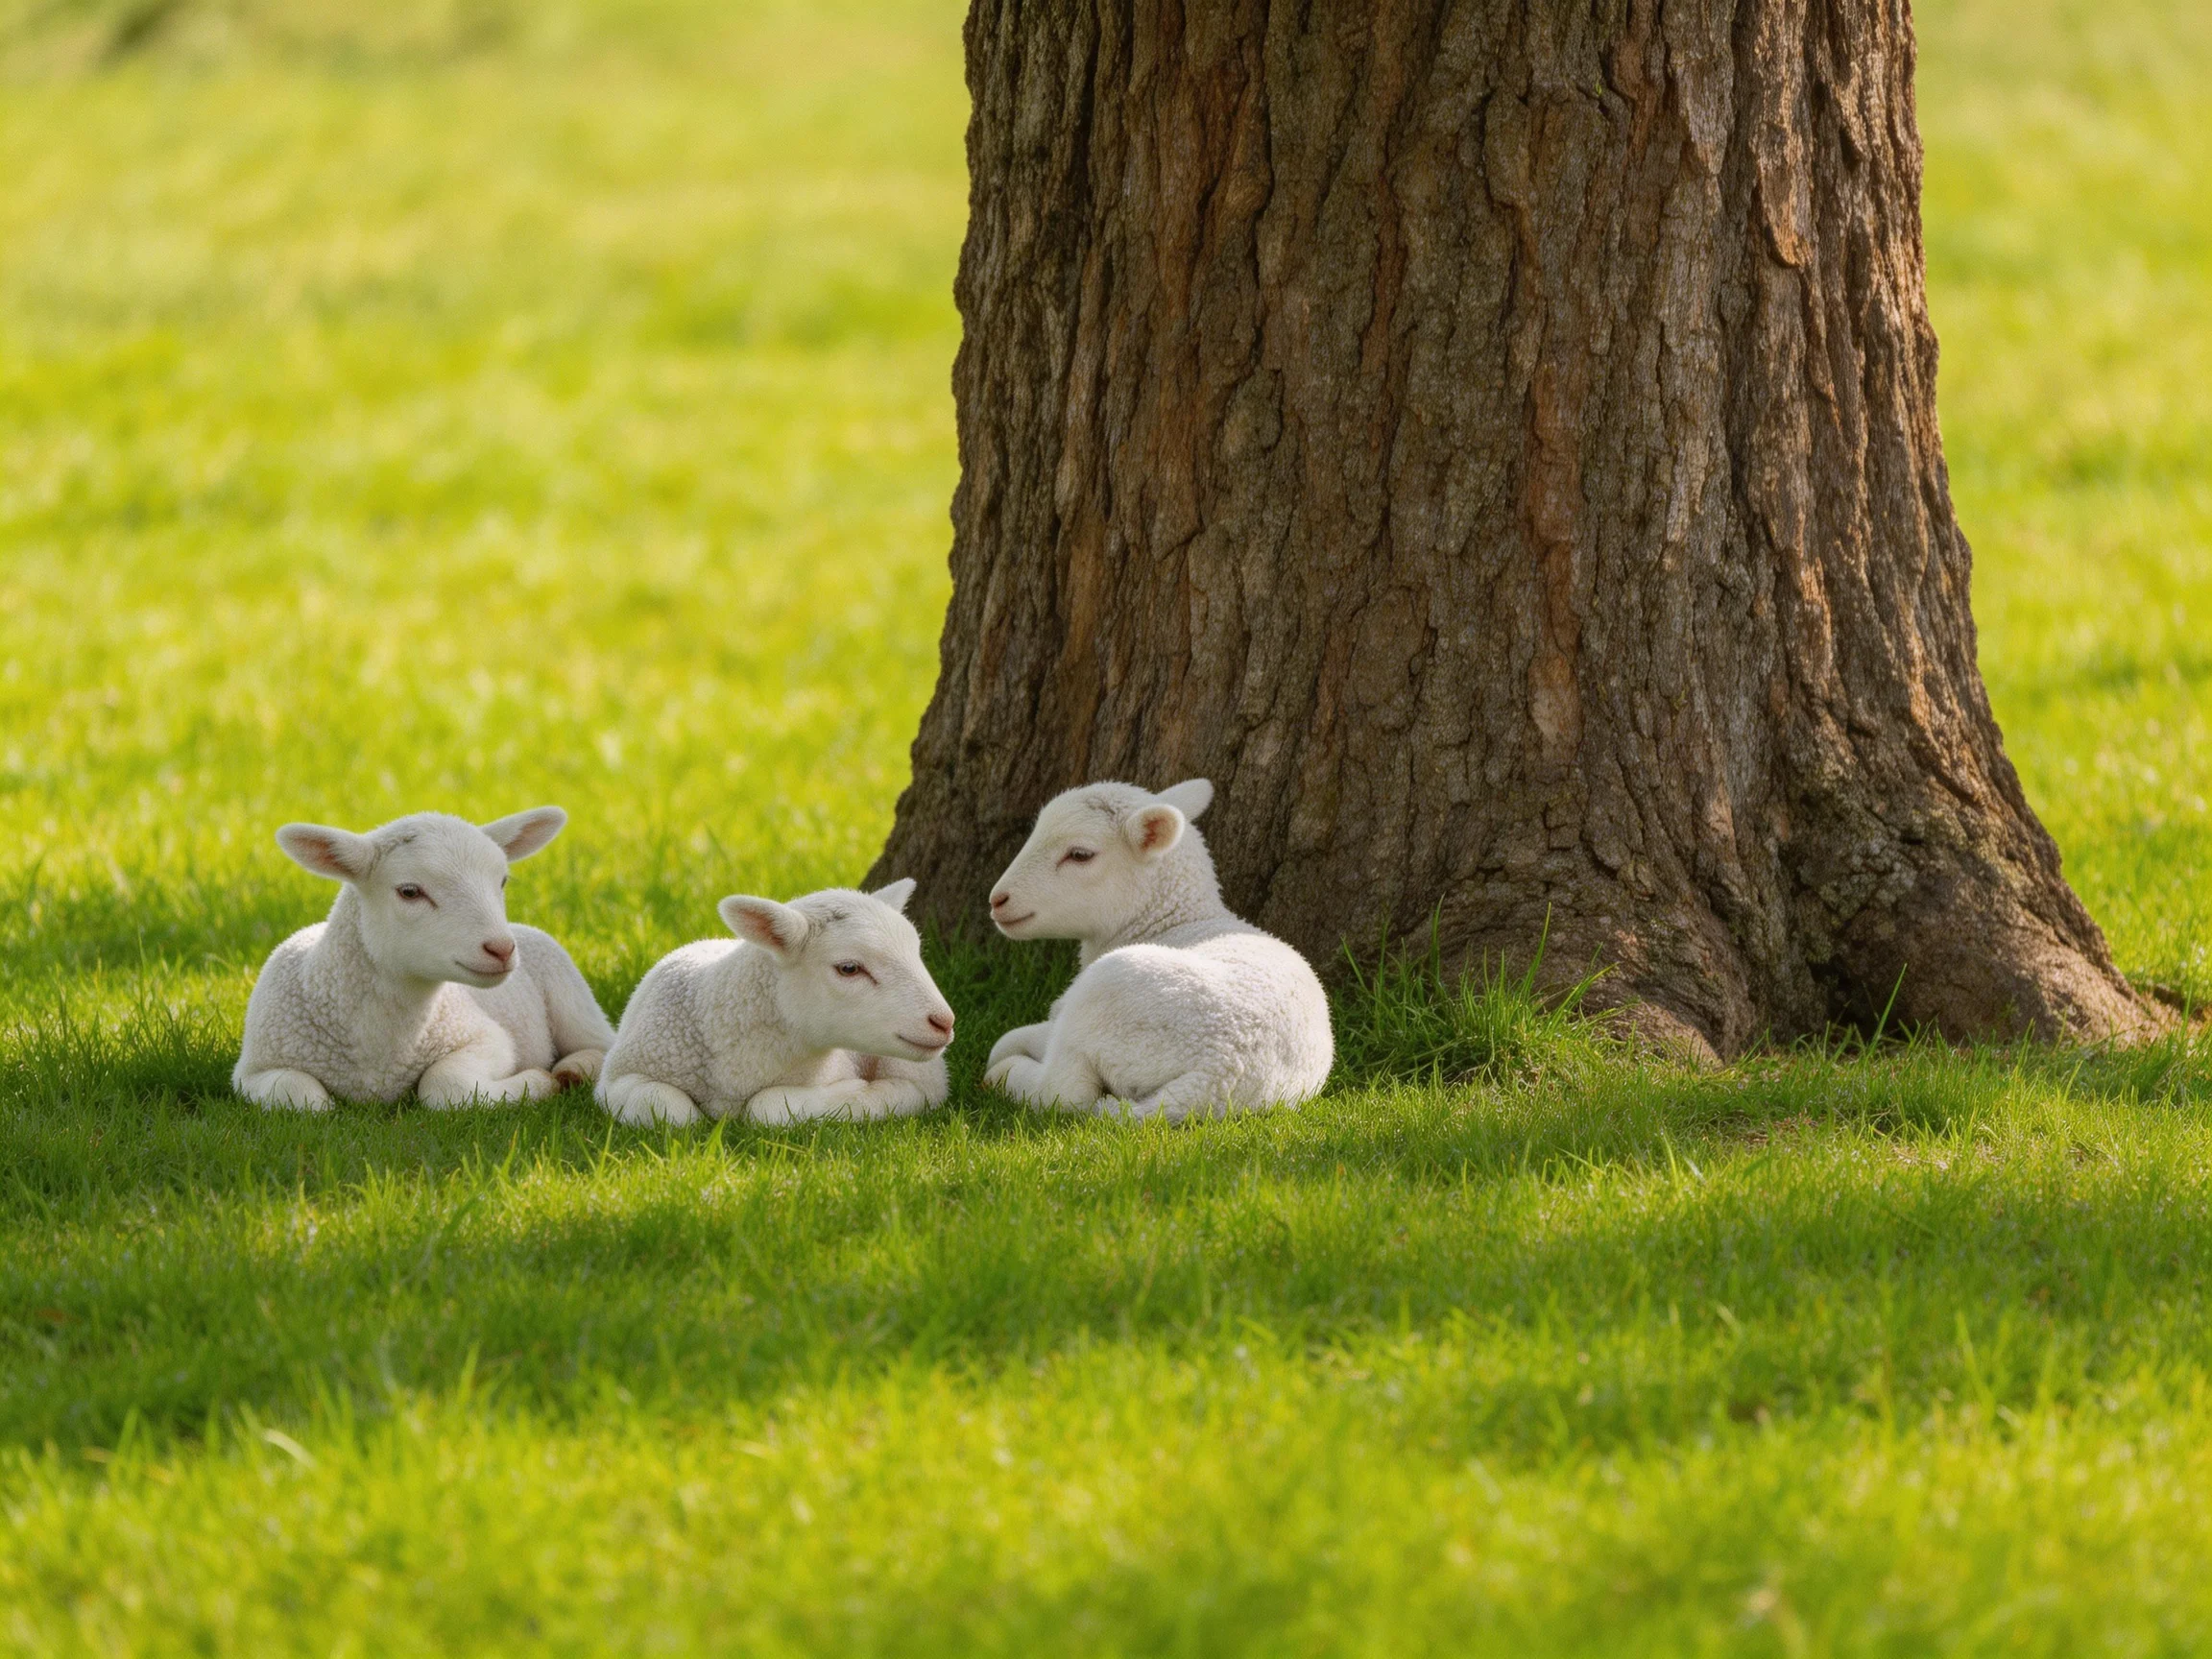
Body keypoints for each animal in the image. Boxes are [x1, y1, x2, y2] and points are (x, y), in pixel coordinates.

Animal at [233, 808, 617, 1111]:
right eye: (409, 891)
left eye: (503, 881)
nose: (501, 949)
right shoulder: (252, 1071)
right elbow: (305, 1099)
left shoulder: (486, 1038)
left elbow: (444, 1085)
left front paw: (537, 1082)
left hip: (571, 994)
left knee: (601, 1044)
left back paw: (574, 1070)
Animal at [595, 879, 955, 1126]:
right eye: (849, 968)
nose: (944, 1021)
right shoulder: (614, 1081)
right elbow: (673, 1112)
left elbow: (767, 1107)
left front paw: (855, 1093)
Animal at [982, 779, 1333, 1121]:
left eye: (1080, 854)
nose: (997, 900)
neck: (1173, 920)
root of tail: (1217, 1075)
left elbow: (1010, 1040)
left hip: (1105, 996)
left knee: (1064, 1090)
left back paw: (1004, 1076)